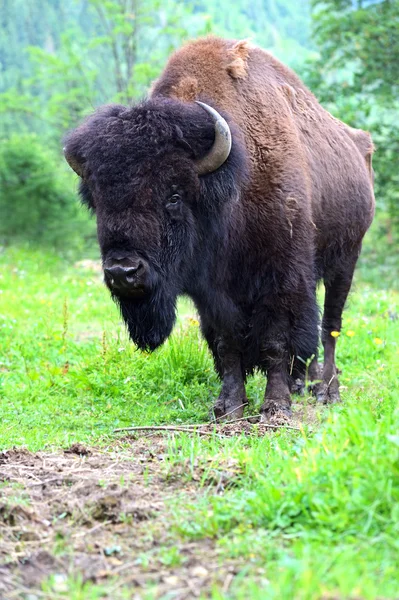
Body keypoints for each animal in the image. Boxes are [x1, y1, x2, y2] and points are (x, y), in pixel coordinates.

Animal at [64, 37, 376, 422]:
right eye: (98, 199)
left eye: (174, 195)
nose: (123, 271)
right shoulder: (210, 292)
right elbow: (228, 343)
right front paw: (229, 406)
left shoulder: (281, 277)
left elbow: (276, 339)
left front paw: (275, 406)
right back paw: (302, 385)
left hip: (345, 260)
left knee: (329, 325)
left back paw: (327, 391)